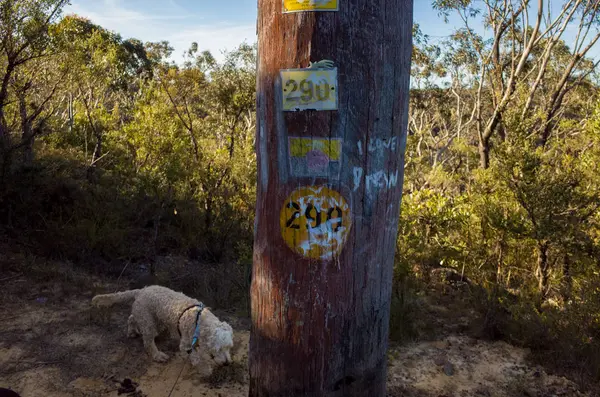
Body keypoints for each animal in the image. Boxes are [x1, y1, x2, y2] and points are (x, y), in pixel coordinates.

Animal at [92, 284, 234, 372]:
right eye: (218, 349)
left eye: (228, 347)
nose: (227, 363)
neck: (199, 320)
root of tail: (141, 290)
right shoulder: (186, 344)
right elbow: (197, 359)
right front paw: (205, 370)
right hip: (149, 322)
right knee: (148, 342)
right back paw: (158, 355)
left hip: (154, 319)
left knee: (131, 318)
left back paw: (132, 332)